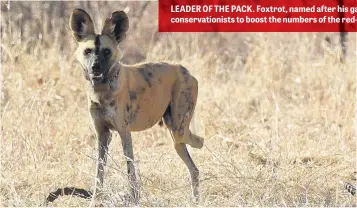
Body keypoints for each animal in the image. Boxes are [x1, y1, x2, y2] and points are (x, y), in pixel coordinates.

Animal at [69, 9, 203, 203]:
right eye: (88, 51)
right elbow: (99, 172)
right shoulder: (103, 134)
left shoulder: (124, 132)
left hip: (178, 131)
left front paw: (134, 199)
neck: (102, 91)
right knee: (194, 169)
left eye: (106, 51)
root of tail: (186, 70)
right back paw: (195, 200)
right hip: (176, 136)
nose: (95, 67)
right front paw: (95, 199)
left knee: (198, 145)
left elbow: (130, 170)